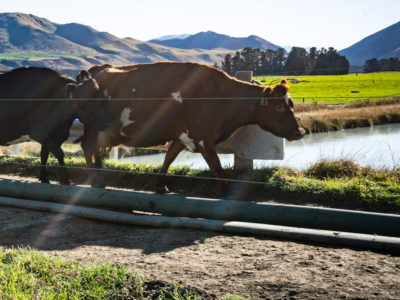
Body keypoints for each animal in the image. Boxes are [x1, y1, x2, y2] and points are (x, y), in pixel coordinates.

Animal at [76, 61, 304, 191]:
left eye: (292, 104)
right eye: (279, 106)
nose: (300, 132)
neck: (221, 96)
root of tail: (95, 70)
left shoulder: (182, 136)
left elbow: (169, 158)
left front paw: (161, 186)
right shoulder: (203, 137)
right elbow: (216, 166)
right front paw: (223, 191)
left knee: (94, 149)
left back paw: (99, 174)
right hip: (94, 127)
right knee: (87, 147)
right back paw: (93, 178)